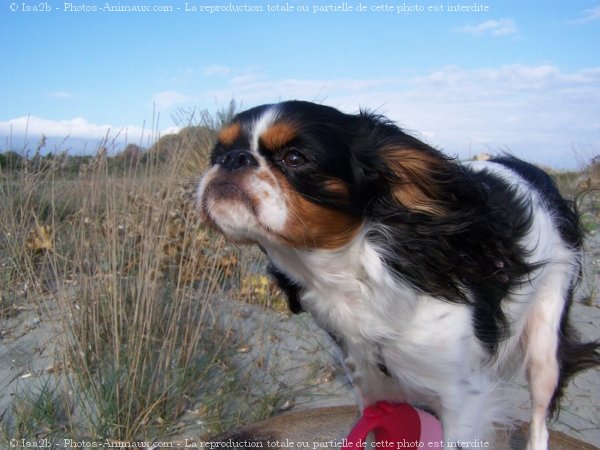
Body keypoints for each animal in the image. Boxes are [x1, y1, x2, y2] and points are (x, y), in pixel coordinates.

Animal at [198, 101, 600, 450]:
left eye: (295, 158)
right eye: (216, 155)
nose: (232, 159)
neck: (356, 275)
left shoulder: (463, 401)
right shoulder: (372, 386)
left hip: (545, 349)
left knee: (539, 420)